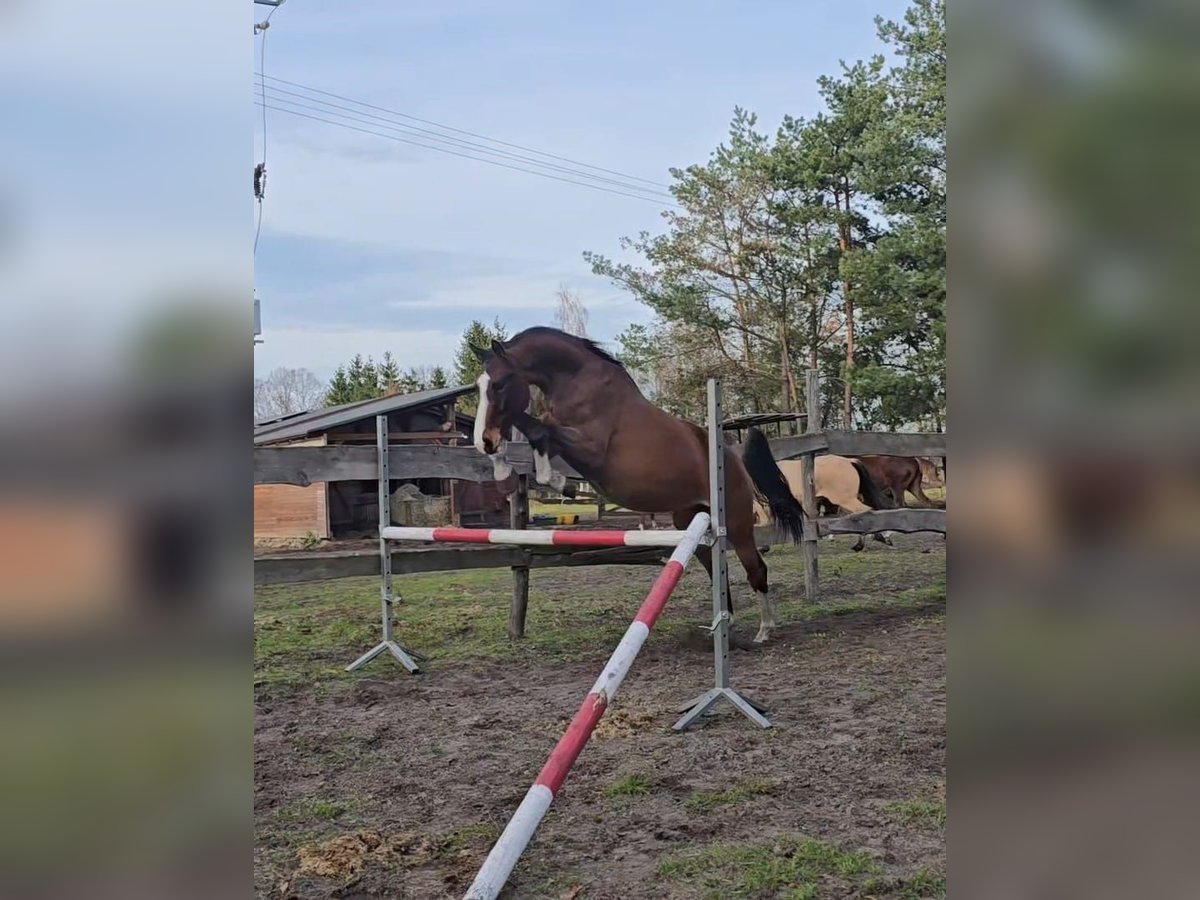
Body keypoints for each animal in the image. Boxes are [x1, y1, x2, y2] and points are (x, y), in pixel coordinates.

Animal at [469, 327, 805, 643]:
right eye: (479, 386)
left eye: (500, 384)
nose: (485, 441)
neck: (576, 382)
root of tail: (732, 454)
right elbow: (535, 432)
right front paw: (508, 470)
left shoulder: (591, 449)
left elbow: (539, 429)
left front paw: (559, 482)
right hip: (692, 520)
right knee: (715, 567)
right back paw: (724, 626)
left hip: (735, 523)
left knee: (756, 568)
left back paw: (765, 629)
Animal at [752, 455, 898, 550]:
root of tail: (849, 460)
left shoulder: (762, 505)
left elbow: (764, 525)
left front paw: (763, 547)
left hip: (846, 500)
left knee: (865, 512)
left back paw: (865, 543)